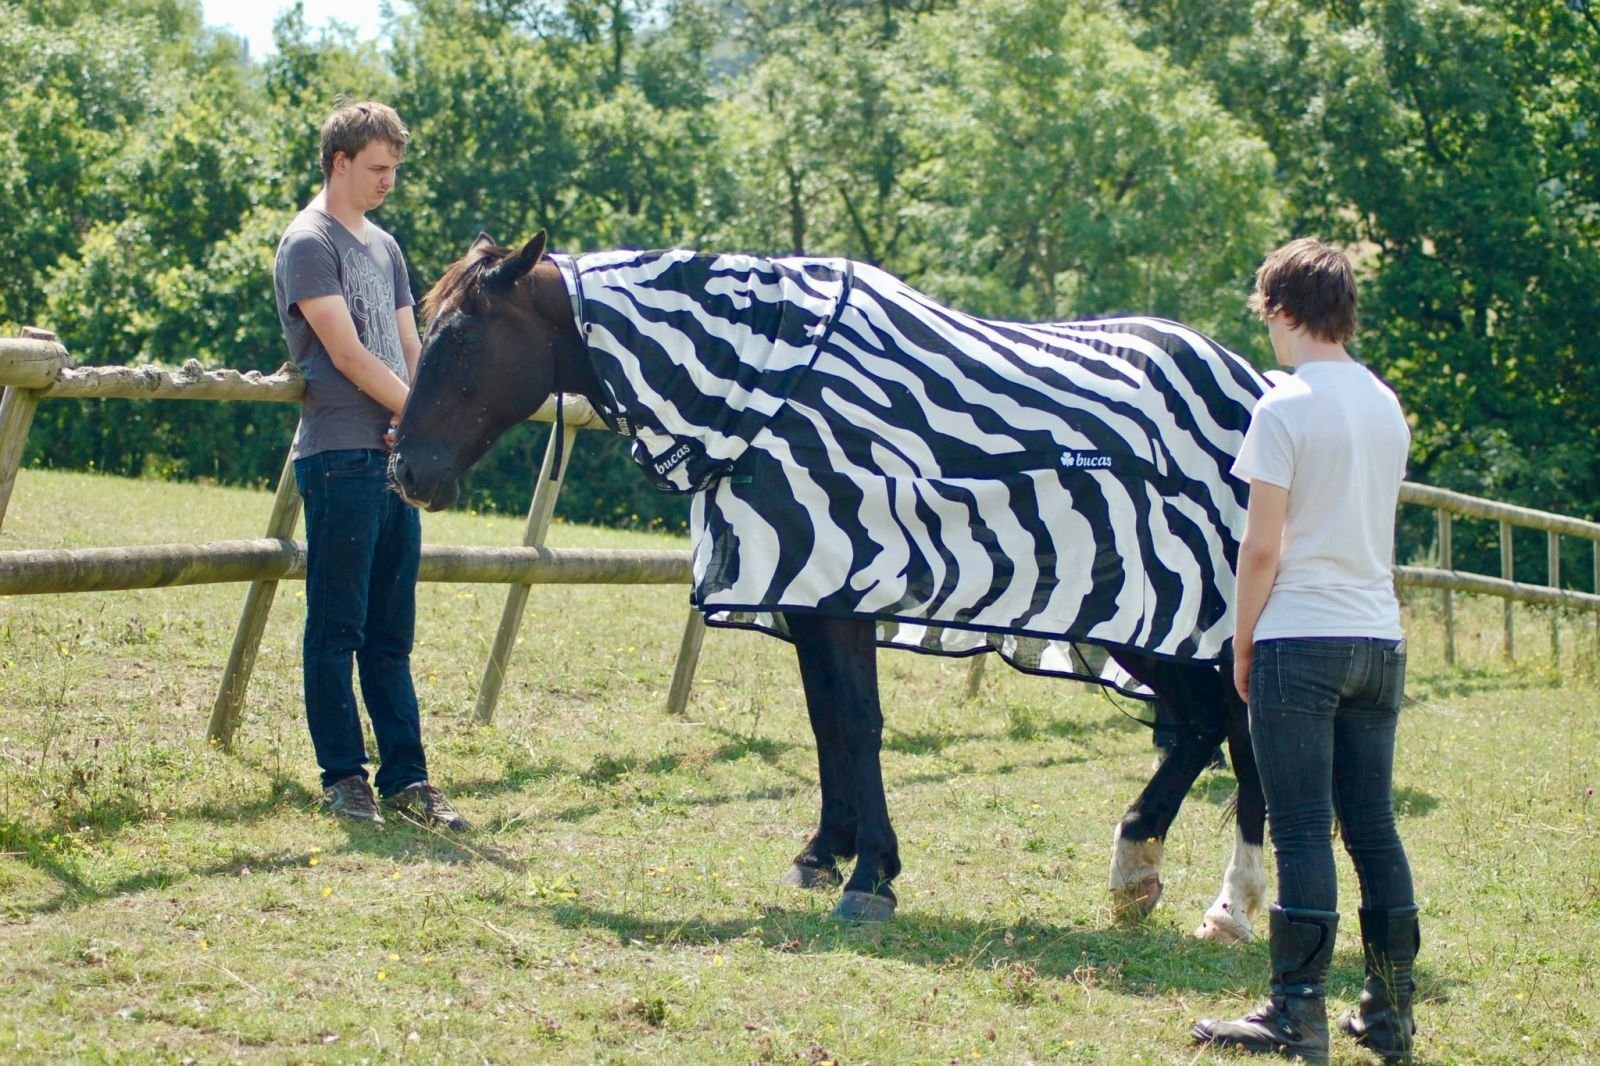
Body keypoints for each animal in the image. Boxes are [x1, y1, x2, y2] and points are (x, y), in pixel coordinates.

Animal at [387, 232, 1260, 941]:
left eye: (460, 336)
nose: (405, 472)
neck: (771, 395)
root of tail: (1248, 383)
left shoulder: (846, 583)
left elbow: (860, 722)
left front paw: (872, 877)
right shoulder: (805, 592)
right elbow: (825, 723)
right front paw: (823, 853)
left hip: (1171, 618)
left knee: (1227, 728)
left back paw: (1207, 890)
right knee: (1211, 722)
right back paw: (1168, 880)